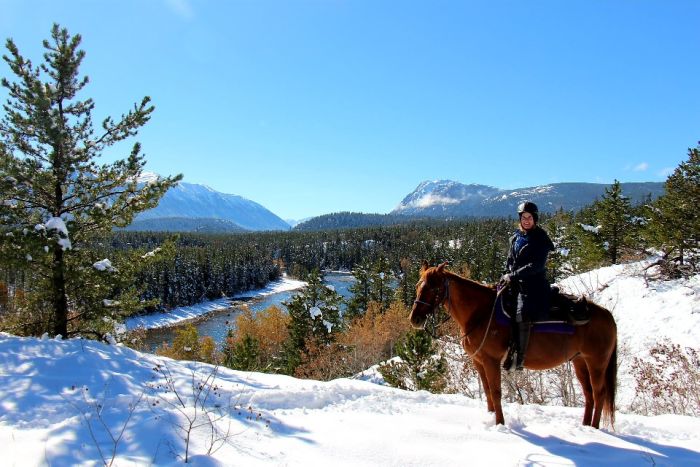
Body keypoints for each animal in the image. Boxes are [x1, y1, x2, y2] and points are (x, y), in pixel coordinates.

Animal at [410, 262, 616, 430]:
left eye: (433, 288)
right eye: (418, 286)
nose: (415, 319)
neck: (480, 313)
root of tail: (607, 315)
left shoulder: (491, 360)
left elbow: (496, 392)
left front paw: (500, 423)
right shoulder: (479, 361)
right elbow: (487, 391)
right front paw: (491, 417)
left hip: (597, 362)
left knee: (599, 393)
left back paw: (594, 429)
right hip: (579, 361)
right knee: (589, 394)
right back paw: (585, 426)